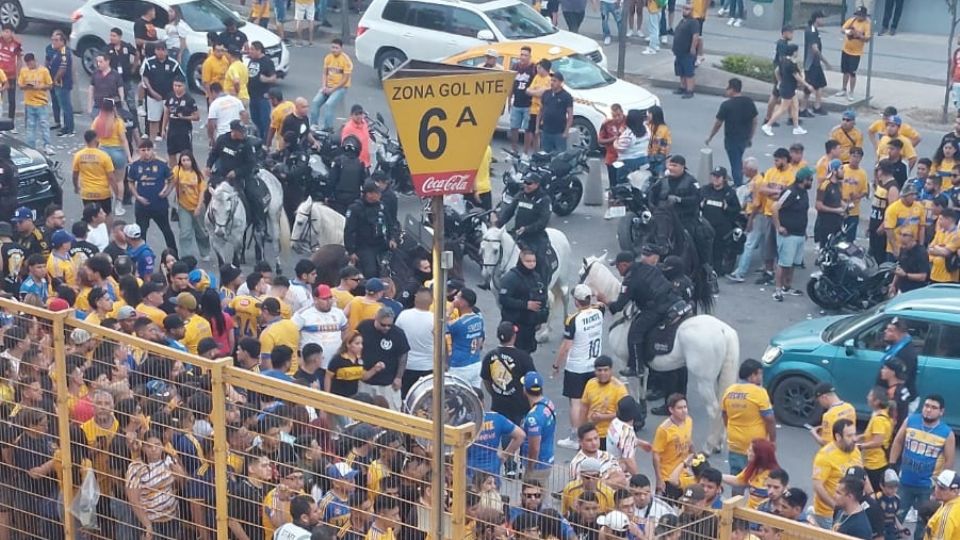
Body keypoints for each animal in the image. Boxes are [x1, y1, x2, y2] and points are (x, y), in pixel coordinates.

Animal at [576, 254, 744, 456]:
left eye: (581, 273)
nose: (575, 292)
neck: (625, 317)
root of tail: (722, 330)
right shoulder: (641, 367)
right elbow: (641, 390)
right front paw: (640, 418)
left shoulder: (625, 362)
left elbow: (633, 392)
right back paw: (718, 443)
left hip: (704, 381)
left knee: (714, 409)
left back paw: (709, 446)